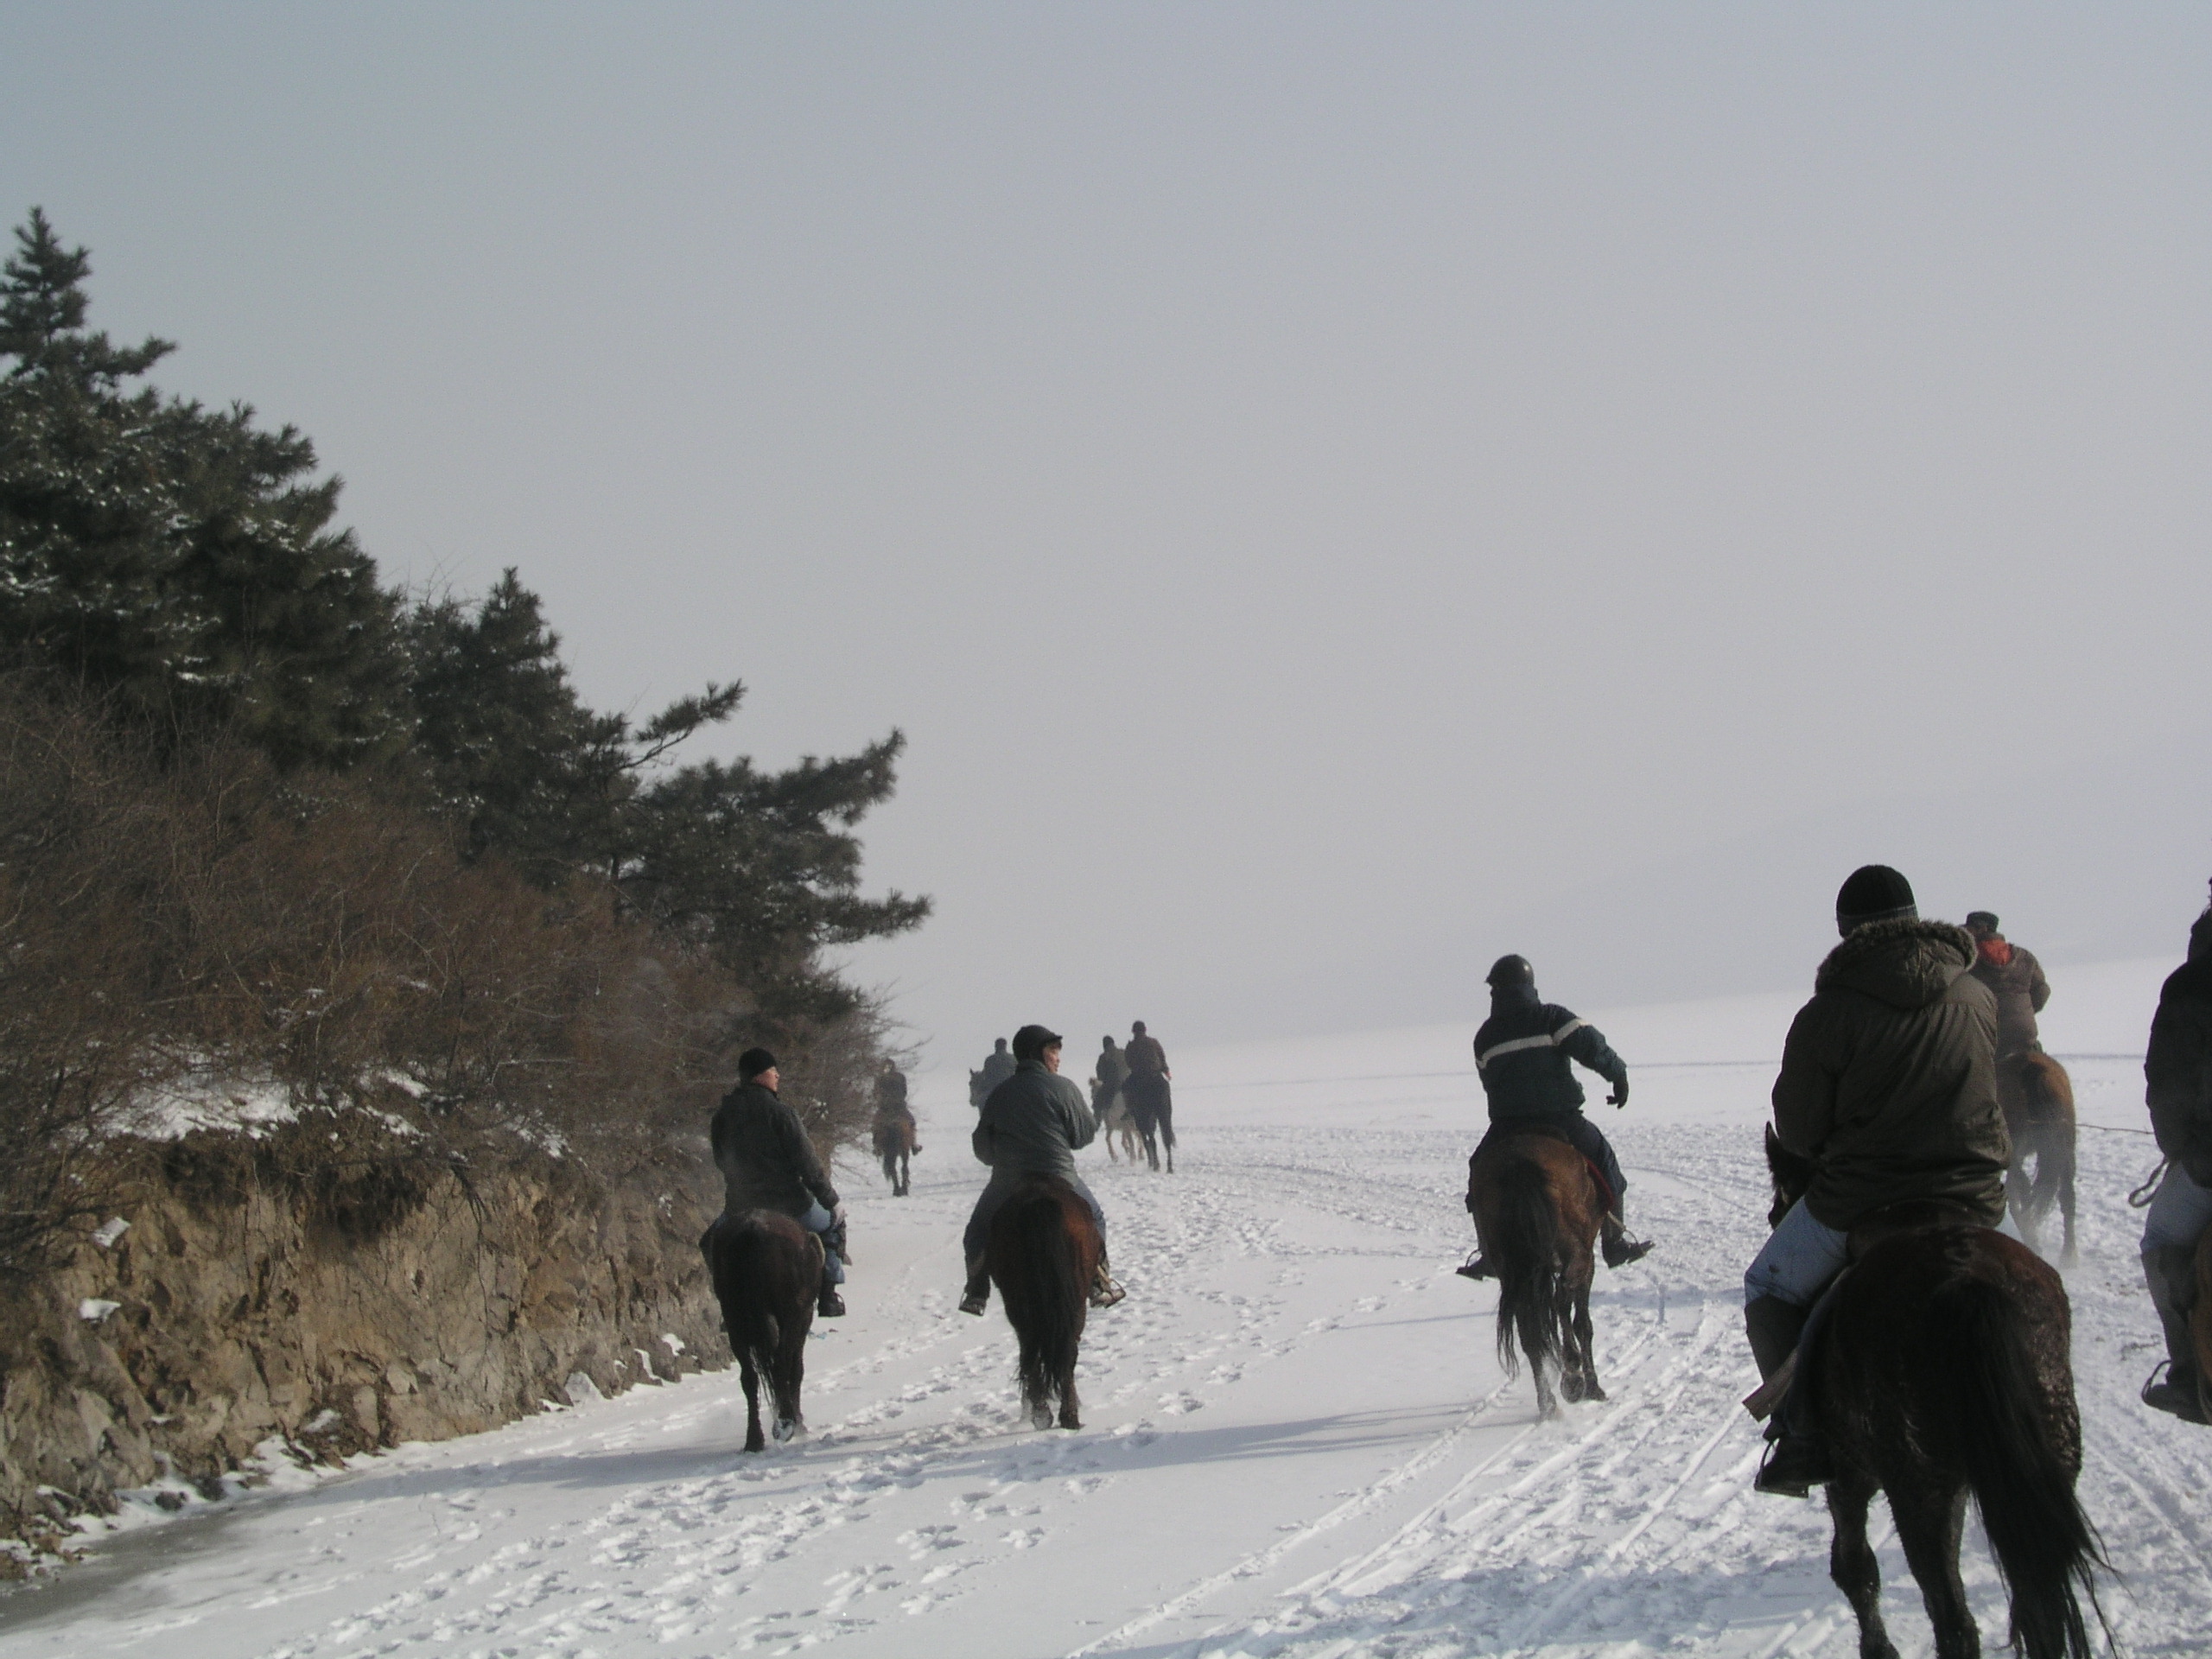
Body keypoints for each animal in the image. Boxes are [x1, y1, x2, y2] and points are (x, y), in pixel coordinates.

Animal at [698, 1211, 823, 1451]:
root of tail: (753, 1232)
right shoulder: (802, 1320)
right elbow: (796, 1371)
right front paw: (799, 1423)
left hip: (736, 1324)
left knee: (749, 1377)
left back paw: (754, 1439)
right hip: (790, 1317)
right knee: (781, 1365)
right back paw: (786, 1424)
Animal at [1468, 1141, 1610, 1424]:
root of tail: (1520, 1166)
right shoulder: (1588, 1262)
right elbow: (1583, 1324)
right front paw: (1592, 1386)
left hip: (1513, 1270)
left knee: (1529, 1334)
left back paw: (1549, 1403)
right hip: (1577, 1255)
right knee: (1561, 1301)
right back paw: (1572, 1377)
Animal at [1760, 1141, 2106, 1659]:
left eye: (1778, 1205)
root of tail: (1965, 1281)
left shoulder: (1848, 1475)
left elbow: (1854, 1568)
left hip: (1917, 1490)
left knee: (1954, 1621)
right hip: (2039, 1465)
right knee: (2035, 1609)